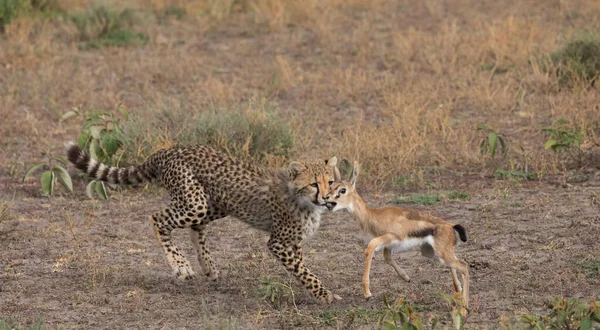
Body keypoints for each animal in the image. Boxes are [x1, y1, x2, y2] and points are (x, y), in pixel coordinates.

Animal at [66, 143, 342, 302]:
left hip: (216, 203)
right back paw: (181, 265)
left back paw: (207, 266)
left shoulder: (293, 243)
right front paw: (325, 295)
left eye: (330, 181)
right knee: (157, 218)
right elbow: (305, 272)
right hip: (195, 203)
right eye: (314, 183)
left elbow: (302, 268)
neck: (303, 198)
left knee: (195, 227)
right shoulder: (279, 242)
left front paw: (316, 292)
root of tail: (171, 148)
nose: (327, 198)